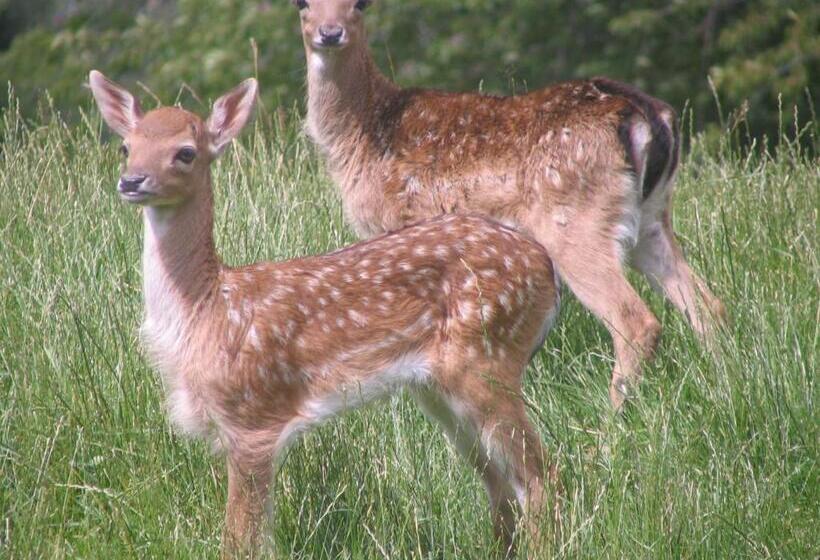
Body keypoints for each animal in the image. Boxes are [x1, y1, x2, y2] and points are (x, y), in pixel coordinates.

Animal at [91, 70, 564, 560]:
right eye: (125, 146)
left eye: (186, 152)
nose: (132, 181)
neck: (207, 310)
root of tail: (545, 267)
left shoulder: (252, 418)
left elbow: (240, 538)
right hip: (439, 386)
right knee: (499, 482)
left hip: (489, 357)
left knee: (541, 475)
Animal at [294, 0, 724, 412]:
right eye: (303, 3)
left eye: (360, 4)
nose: (329, 33)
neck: (365, 133)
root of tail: (648, 115)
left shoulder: (395, 228)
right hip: (652, 219)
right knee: (708, 306)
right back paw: (721, 382)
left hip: (576, 222)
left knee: (636, 321)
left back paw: (613, 420)